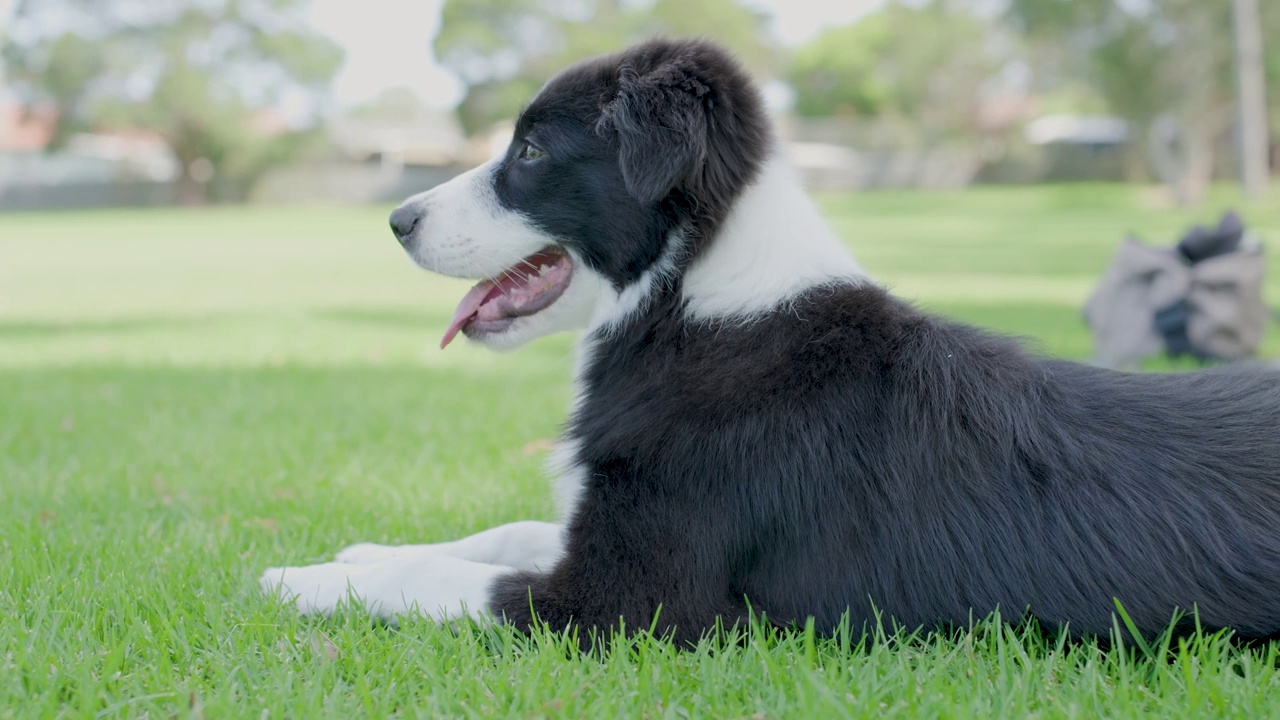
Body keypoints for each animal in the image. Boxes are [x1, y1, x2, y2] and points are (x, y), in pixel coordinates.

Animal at [259, 37, 1280, 645]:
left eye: (532, 153)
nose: (397, 219)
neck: (695, 301)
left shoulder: (630, 602)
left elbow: (449, 580)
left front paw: (297, 578)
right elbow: (506, 531)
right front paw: (360, 552)